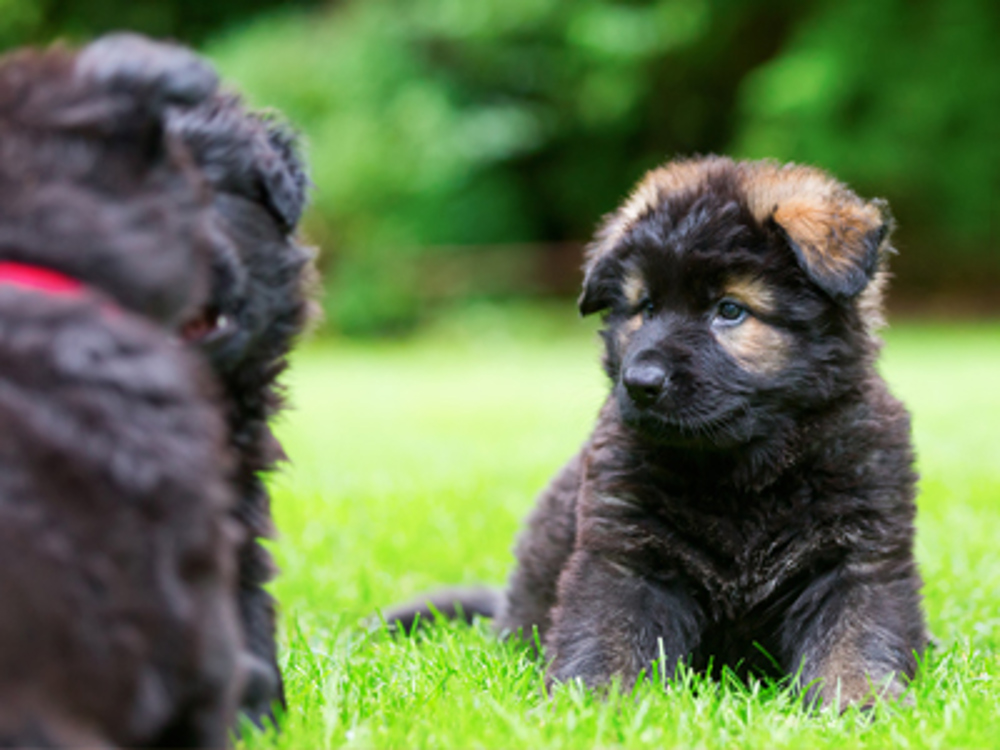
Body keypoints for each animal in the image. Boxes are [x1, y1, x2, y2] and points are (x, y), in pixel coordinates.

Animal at [388, 157, 928, 712]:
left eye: (729, 310)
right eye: (645, 307)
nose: (641, 382)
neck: (743, 474)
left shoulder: (857, 557)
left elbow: (855, 638)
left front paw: (859, 702)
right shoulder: (626, 555)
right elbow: (607, 636)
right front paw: (592, 706)